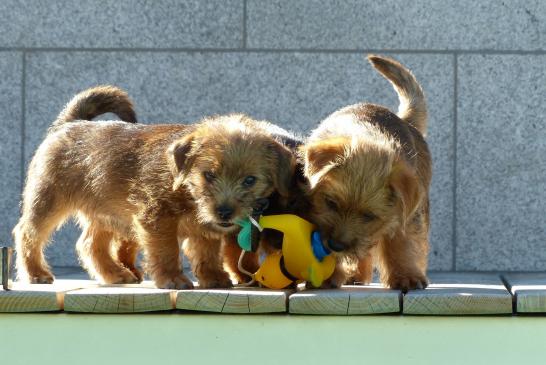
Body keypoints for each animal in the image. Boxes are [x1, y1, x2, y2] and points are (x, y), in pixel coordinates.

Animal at [13, 85, 294, 288]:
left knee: (90, 244)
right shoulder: (157, 218)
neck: (183, 187)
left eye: (250, 180)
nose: (224, 213)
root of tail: (70, 123)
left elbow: (207, 252)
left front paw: (213, 277)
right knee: (28, 233)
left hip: (105, 212)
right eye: (209, 175)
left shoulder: (204, 229)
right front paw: (173, 279)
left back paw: (114, 274)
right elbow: (167, 250)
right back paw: (36, 273)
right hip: (47, 200)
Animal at [302, 56, 430, 290]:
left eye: (369, 216)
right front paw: (328, 275)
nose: (336, 245)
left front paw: (406, 276)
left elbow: (402, 243)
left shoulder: (403, 215)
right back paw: (354, 275)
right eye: (331, 203)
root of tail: (405, 120)